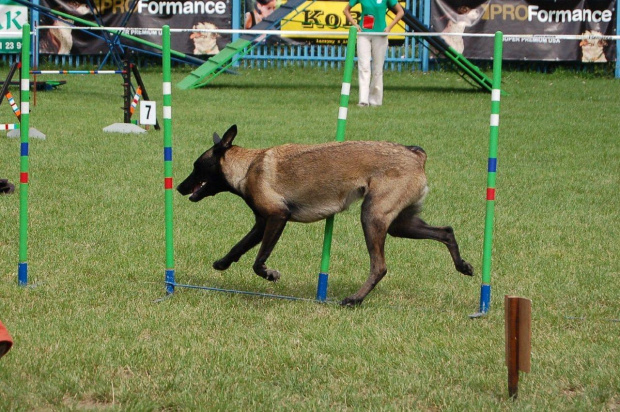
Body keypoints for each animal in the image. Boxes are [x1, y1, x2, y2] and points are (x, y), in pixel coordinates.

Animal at [179, 125, 474, 306]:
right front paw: (222, 263)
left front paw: (270, 274)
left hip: (373, 216)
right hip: (400, 223)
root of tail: (416, 155)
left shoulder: (277, 216)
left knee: (379, 267)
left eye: (196, 166)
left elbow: (258, 259)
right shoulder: (262, 222)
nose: (179, 187)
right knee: (446, 231)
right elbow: (239, 246)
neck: (248, 165)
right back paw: (463, 266)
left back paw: (354, 300)